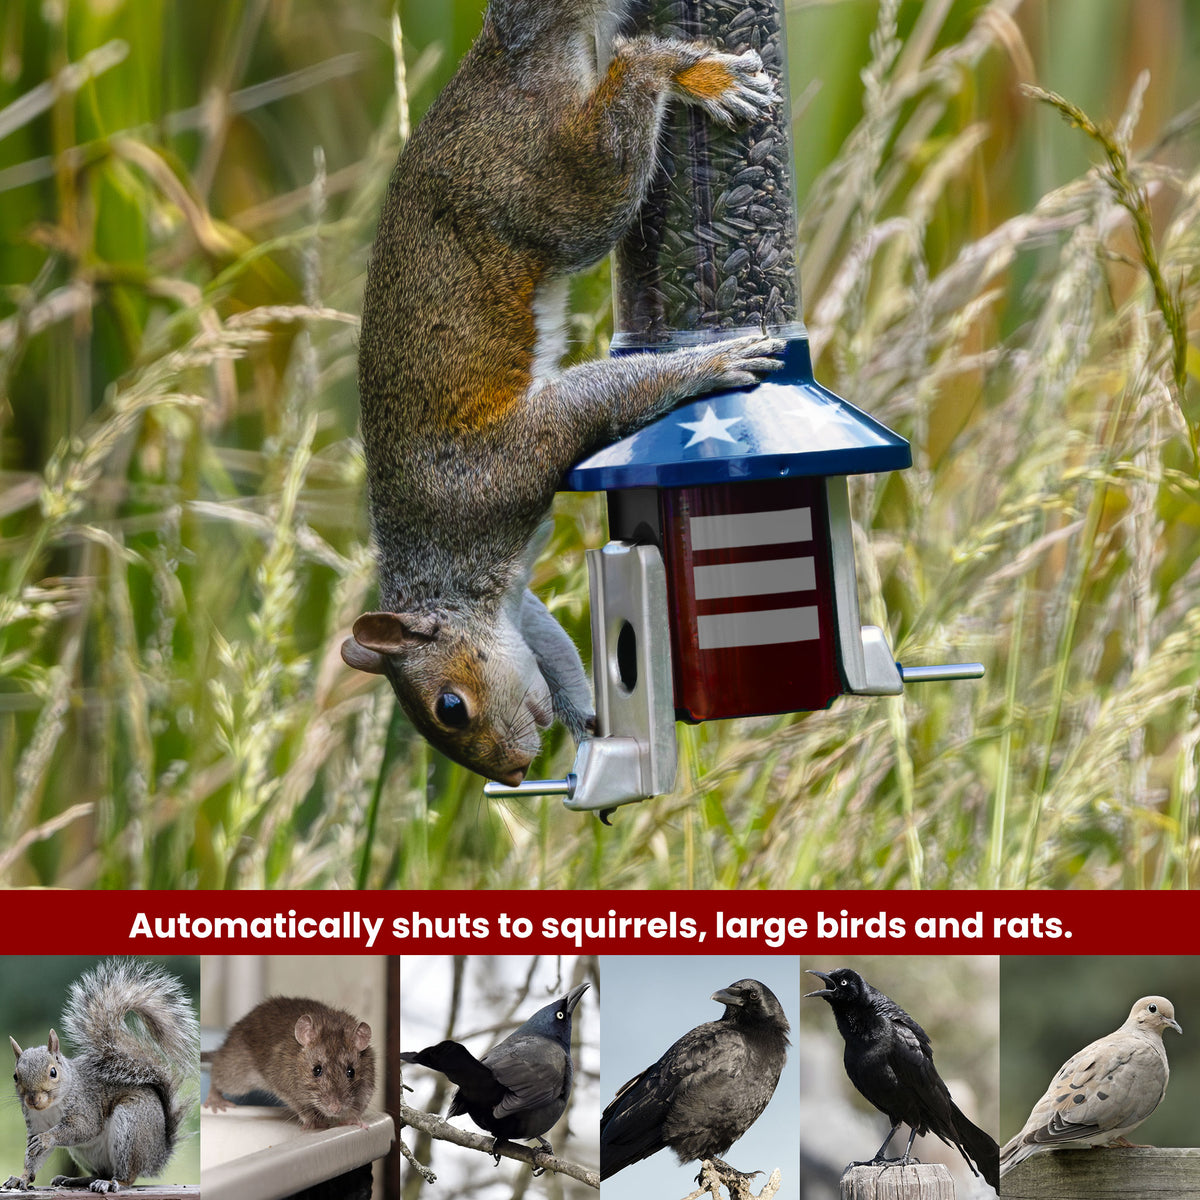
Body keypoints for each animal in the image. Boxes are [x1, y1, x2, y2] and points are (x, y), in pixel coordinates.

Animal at [4, 958, 198, 1194]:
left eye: (53, 1072)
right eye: (15, 1076)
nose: (33, 1099)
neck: (51, 1106)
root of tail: (157, 1155)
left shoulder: (86, 1105)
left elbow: (83, 1128)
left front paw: (47, 1138)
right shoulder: (35, 1122)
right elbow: (33, 1157)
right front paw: (21, 1178)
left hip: (131, 1127)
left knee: (127, 1175)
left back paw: (113, 1182)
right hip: (85, 1153)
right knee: (102, 1171)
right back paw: (76, 1180)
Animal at [343, 0, 785, 785]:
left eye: (449, 707)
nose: (513, 773)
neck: (443, 563)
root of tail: (502, 58)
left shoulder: (503, 468)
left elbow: (596, 401)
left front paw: (712, 361)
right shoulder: (520, 609)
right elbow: (552, 647)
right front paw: (589, 723)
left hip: (550, 188)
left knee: (622, 105)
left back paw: (686, 72)